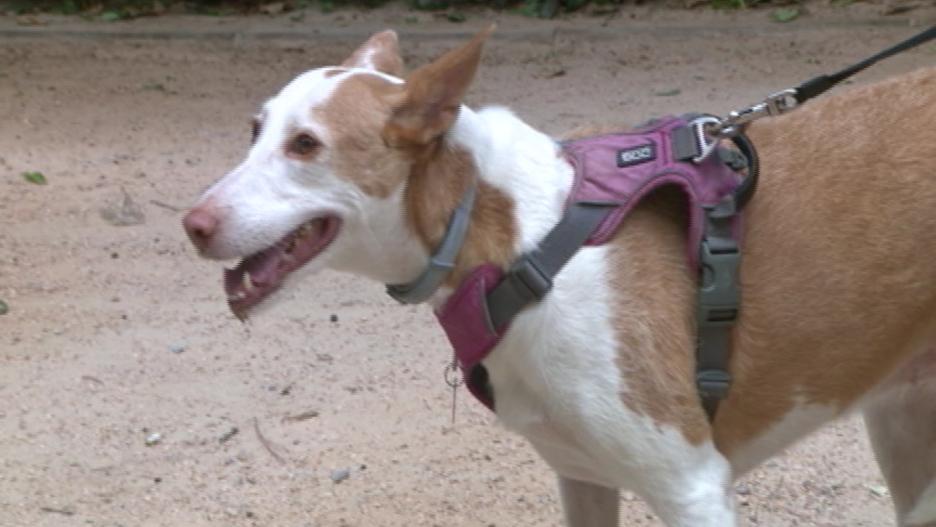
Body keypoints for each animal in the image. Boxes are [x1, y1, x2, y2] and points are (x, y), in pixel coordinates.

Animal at [183, 28, 936, 527]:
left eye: (306, 145)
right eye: (255, 130)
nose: (193, 224)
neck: (519, 244)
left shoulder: (692, 486)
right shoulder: (580, 477)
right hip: (903, 425)